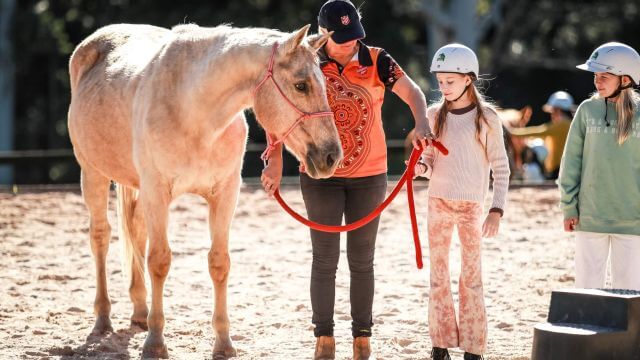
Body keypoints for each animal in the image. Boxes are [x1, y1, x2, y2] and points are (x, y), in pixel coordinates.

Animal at [67, 23, 342, 358]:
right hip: (92, 173)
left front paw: (223, 343)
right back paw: (103, 318)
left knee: (136, 231)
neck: (194, 113)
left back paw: (140, 312)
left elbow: (219, 263)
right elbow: (159, 261)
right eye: (301, 85)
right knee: (101, 237)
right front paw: (156, 343)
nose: (331, 156)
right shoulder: (156, 191)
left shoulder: (225, 193)